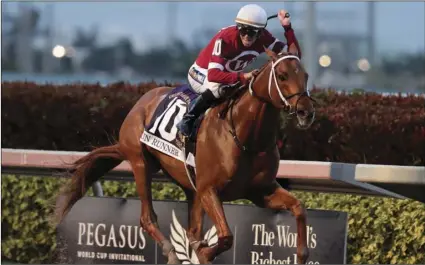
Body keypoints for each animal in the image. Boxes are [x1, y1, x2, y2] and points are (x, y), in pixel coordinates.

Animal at [53, 48, 314, 264]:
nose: (305, 112)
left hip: (190, 188)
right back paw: (171, 253)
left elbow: (299, 207)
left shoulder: (260, 191)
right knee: (148, 218)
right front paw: (204, 252)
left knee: (191, 230)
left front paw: (301, 255)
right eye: (282, 75)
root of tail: (142, 101)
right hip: (140, 162)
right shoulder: (209, 189)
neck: (245, 136)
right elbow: (225, 237)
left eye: (306, 75)